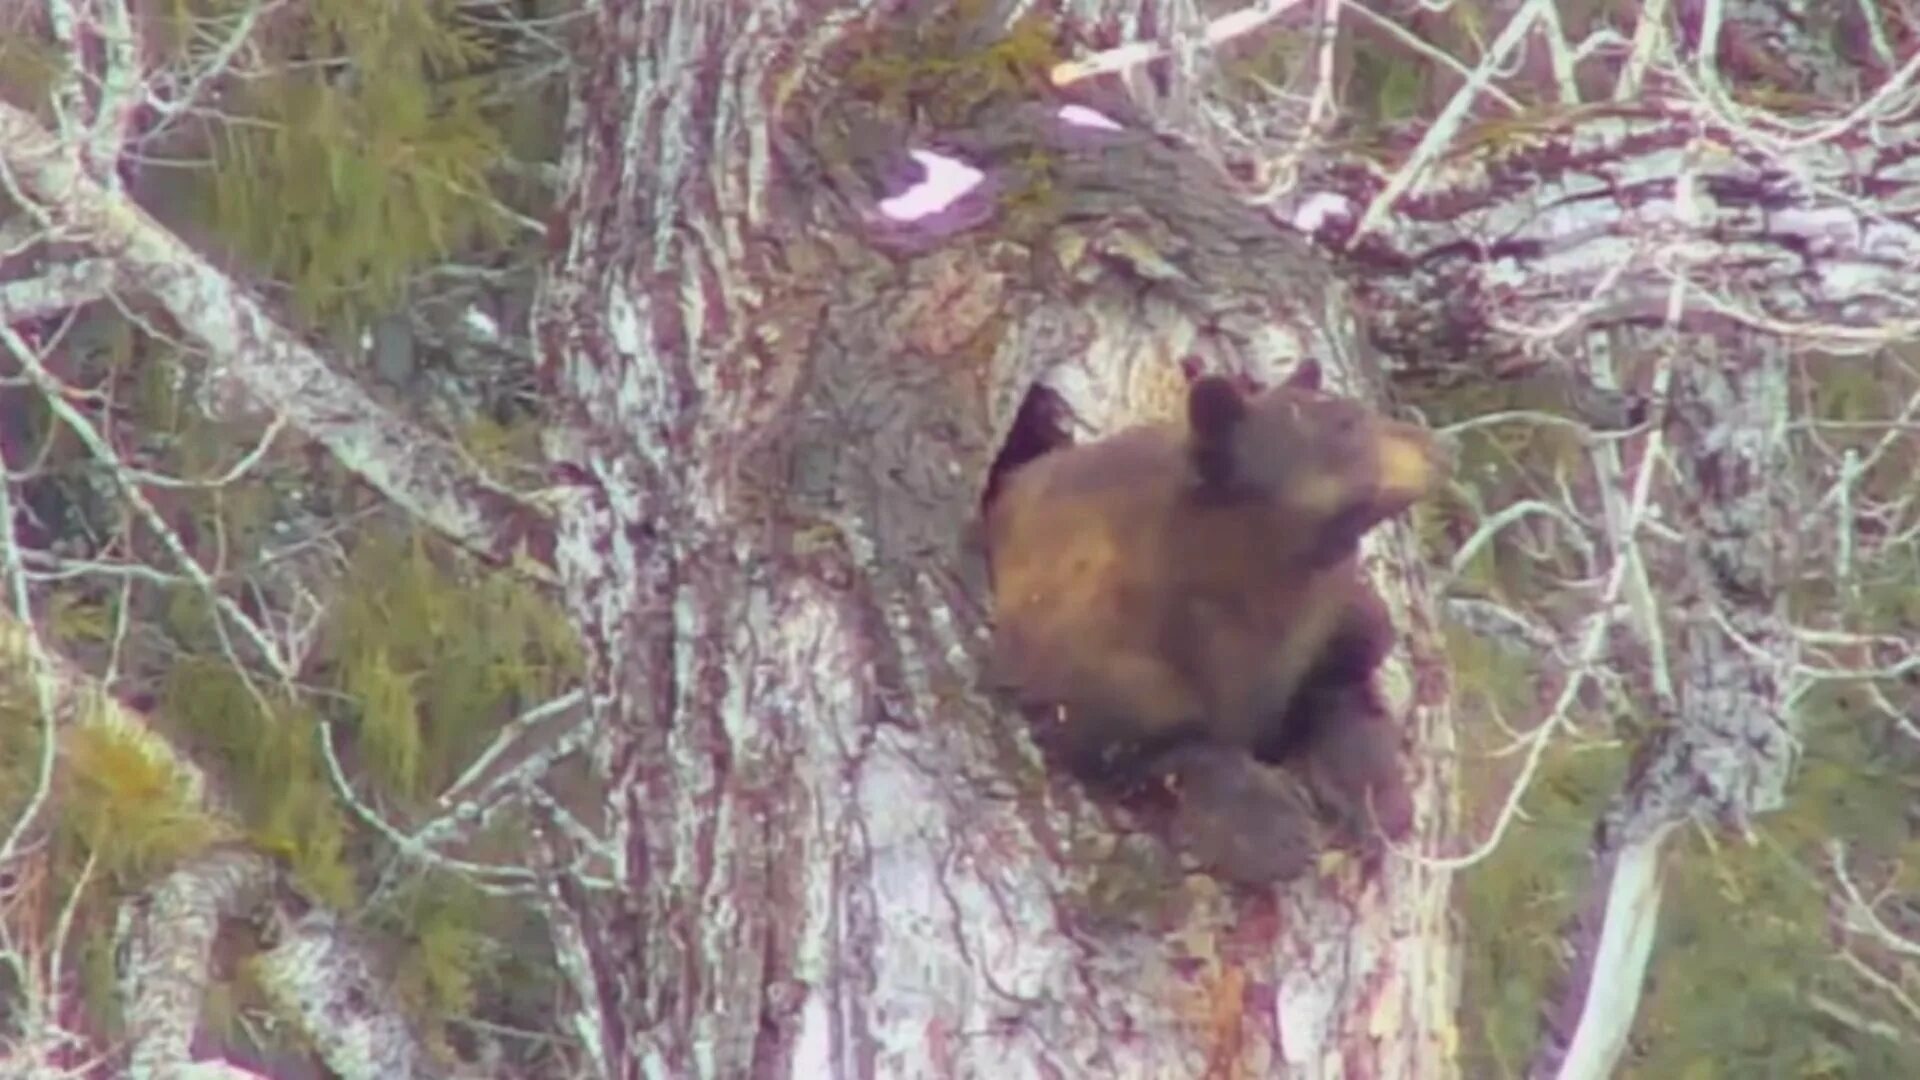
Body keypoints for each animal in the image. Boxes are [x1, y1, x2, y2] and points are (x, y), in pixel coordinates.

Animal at [983, 357, 1436, 860]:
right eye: (1345, 423)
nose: (1435, 444)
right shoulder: (1103, 657)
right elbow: (1146, 741)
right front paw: (1271, 831)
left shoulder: (1316, 622)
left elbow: (1350, 664)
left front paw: (1371, 796)